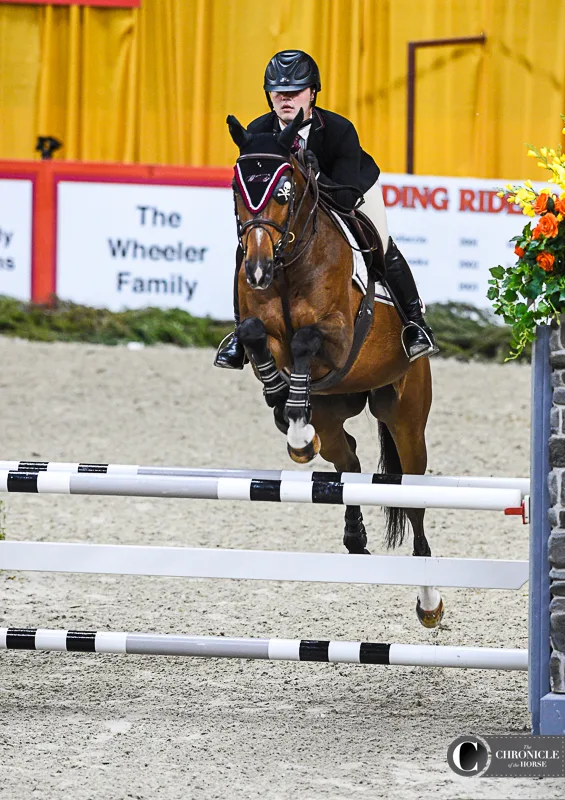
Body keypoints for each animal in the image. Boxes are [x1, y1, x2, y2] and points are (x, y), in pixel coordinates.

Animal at [227, 111, 442, 628]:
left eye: (285, 191)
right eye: (236, 188)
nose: (257, 270)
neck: (288, 261)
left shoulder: (342, 336)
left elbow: (306, 339)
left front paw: (289, 409)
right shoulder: (259, 326)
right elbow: (254, 334)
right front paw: (281, 402)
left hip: (406, 416)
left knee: (413, 497)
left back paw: (429, 602)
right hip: (333, 409)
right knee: (347, 461)